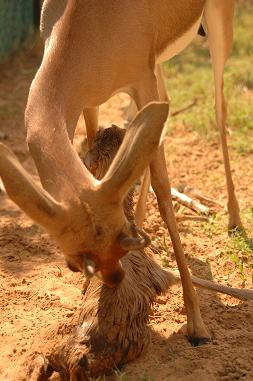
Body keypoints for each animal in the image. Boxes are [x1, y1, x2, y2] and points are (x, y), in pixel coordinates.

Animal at [0, 0, 242, 344]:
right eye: (74, 263)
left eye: (120, 237)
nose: (115, 278)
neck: (85, 24)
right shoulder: (91, 101)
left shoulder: (142, 81)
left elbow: (163, 188)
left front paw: (197, 324)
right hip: (159, 65)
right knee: (165, 112)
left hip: (218, 26)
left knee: (219, 108)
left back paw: (234, 219)